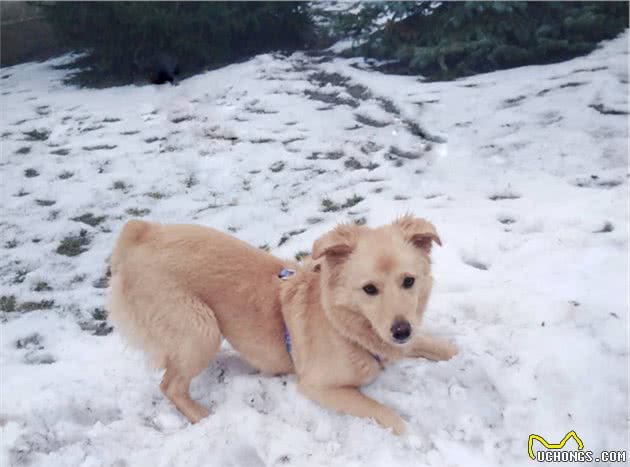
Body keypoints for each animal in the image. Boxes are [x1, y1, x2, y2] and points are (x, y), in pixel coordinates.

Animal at [107, 216, 460, 436]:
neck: (343, 323)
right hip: (201, 329)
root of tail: (141, 234)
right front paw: (416, 437)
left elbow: (436, 345)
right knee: (170, 386)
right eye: (369, 289)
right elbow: (385, 413)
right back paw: (204, 418)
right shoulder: (319, 387)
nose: (401, 330)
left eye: (408, 281)